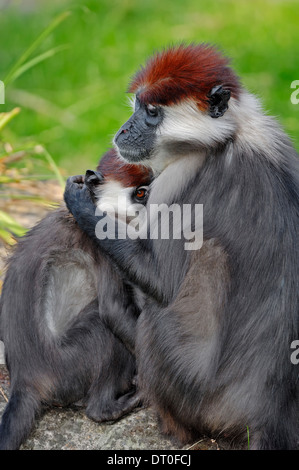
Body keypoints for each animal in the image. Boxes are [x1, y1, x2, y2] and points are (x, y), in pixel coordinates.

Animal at [0, 149, 152, 450]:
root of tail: (24, 379)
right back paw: (106, 407)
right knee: (102, 327)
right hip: (69, 366)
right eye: (141, 193)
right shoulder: (101, 239)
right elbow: (113, 310)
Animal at [65, 45, 299, 452]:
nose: (124, 129)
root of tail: (271, 412)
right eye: (137, 106)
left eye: (151, 113)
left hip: (191, 388)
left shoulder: (179, 177)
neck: (229, 136)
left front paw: (82, 202)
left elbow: (161, 283)